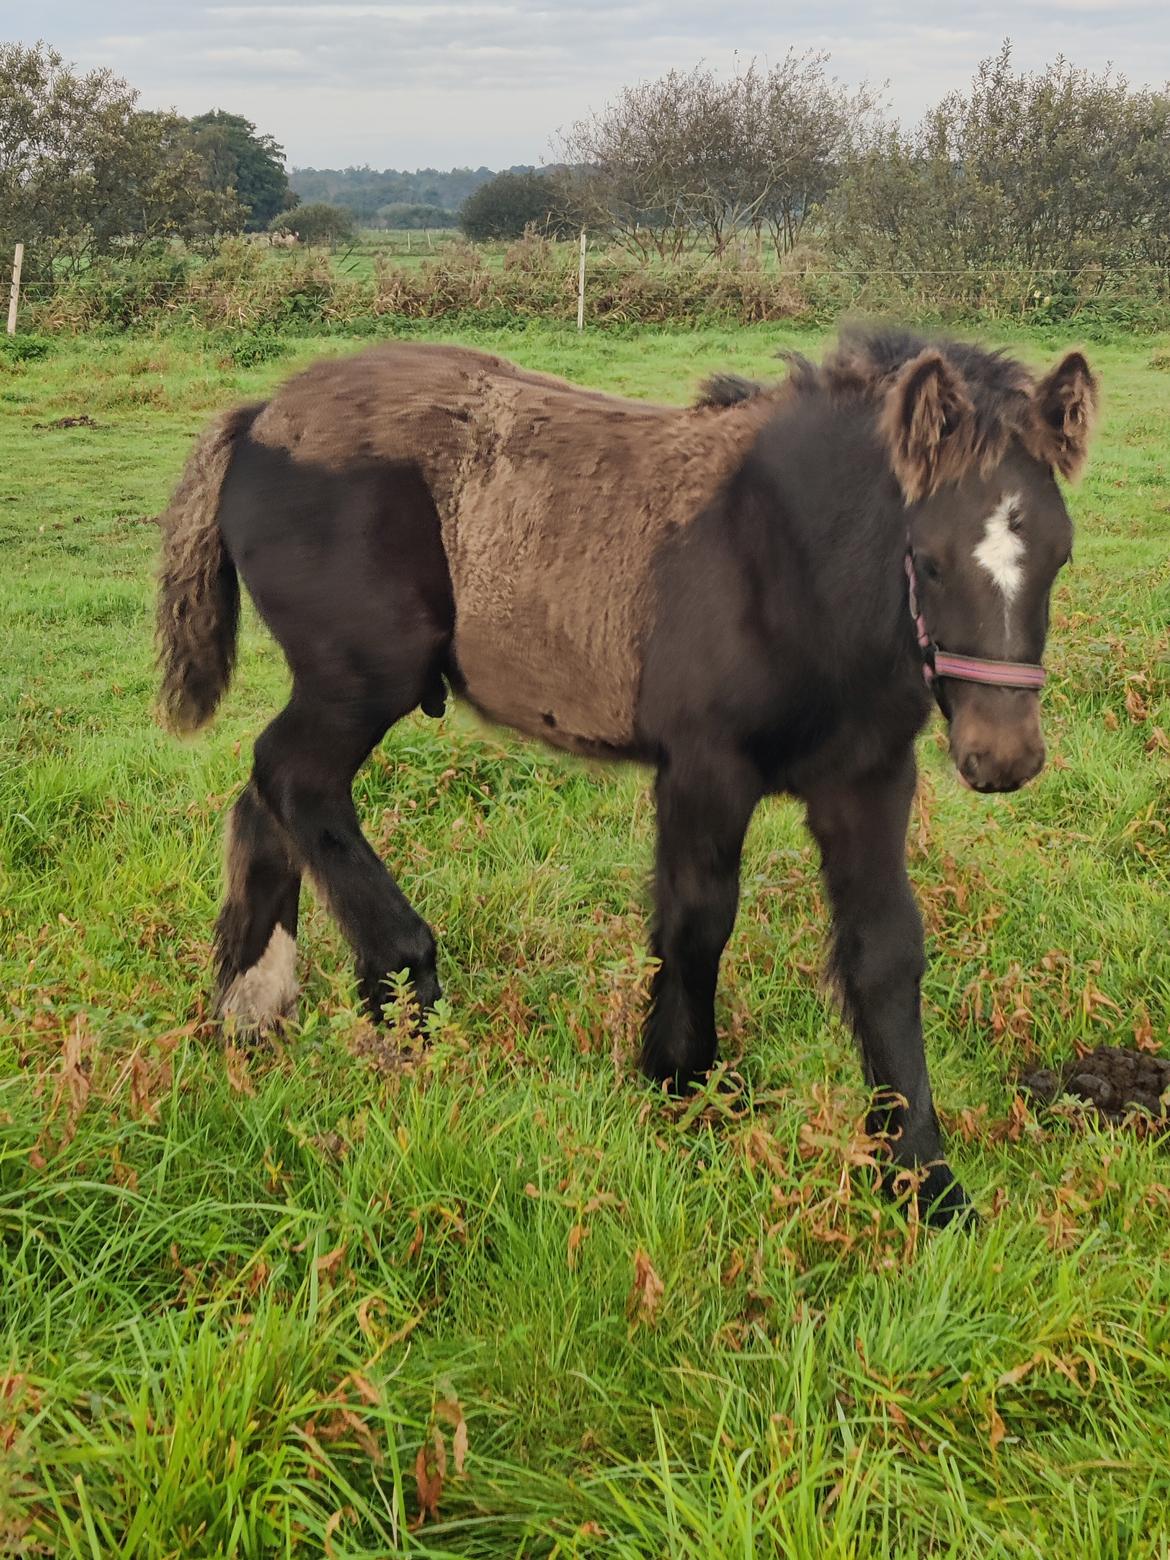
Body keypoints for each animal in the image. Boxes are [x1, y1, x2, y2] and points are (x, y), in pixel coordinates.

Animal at [158, 332, 1098, 1229]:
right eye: (928, 559)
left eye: (1061, 556)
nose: (1003, 757)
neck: (785, 561)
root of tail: (261, 416)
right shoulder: (705, 766)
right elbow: (698, 921)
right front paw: (681, 1082)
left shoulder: (868, 779)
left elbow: (886, 952)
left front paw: (923, 1178)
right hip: (363, 678)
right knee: (291, 778)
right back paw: (400, 977)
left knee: (266, 798)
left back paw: (250, 1004)